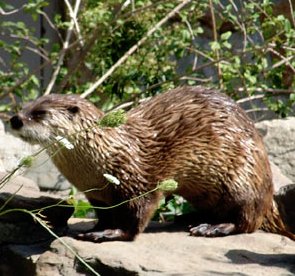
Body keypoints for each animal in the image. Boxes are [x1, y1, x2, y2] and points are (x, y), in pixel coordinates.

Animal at [9, 86, 295, 242]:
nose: (14, 119)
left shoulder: (138, 182)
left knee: (247, 220)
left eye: (39, 113)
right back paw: (188, 218)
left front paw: (107, 234)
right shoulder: (97, 195)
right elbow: (103, 214)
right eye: (24, 106)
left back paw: (211, 228)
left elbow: (135, 218)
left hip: (241, 178)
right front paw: (96, 228)